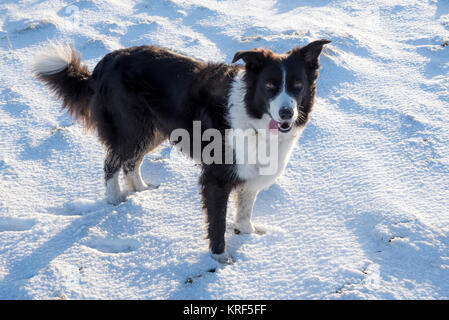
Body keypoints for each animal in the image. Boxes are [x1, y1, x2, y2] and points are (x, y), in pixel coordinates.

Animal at [33, 39, 328, 262]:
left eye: (297, 86)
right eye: (269, 86)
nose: (287, 113)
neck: (251, 114)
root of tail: (106, 61)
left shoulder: (249, 172)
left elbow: (244, 209)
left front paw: (249, 234)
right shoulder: (216, 178)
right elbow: (218, 221)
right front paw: (220, 258)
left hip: (153, 130)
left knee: (131, 162)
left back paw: (140, 189)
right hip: (133, 128)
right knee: (112, 162)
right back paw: (114, 199)